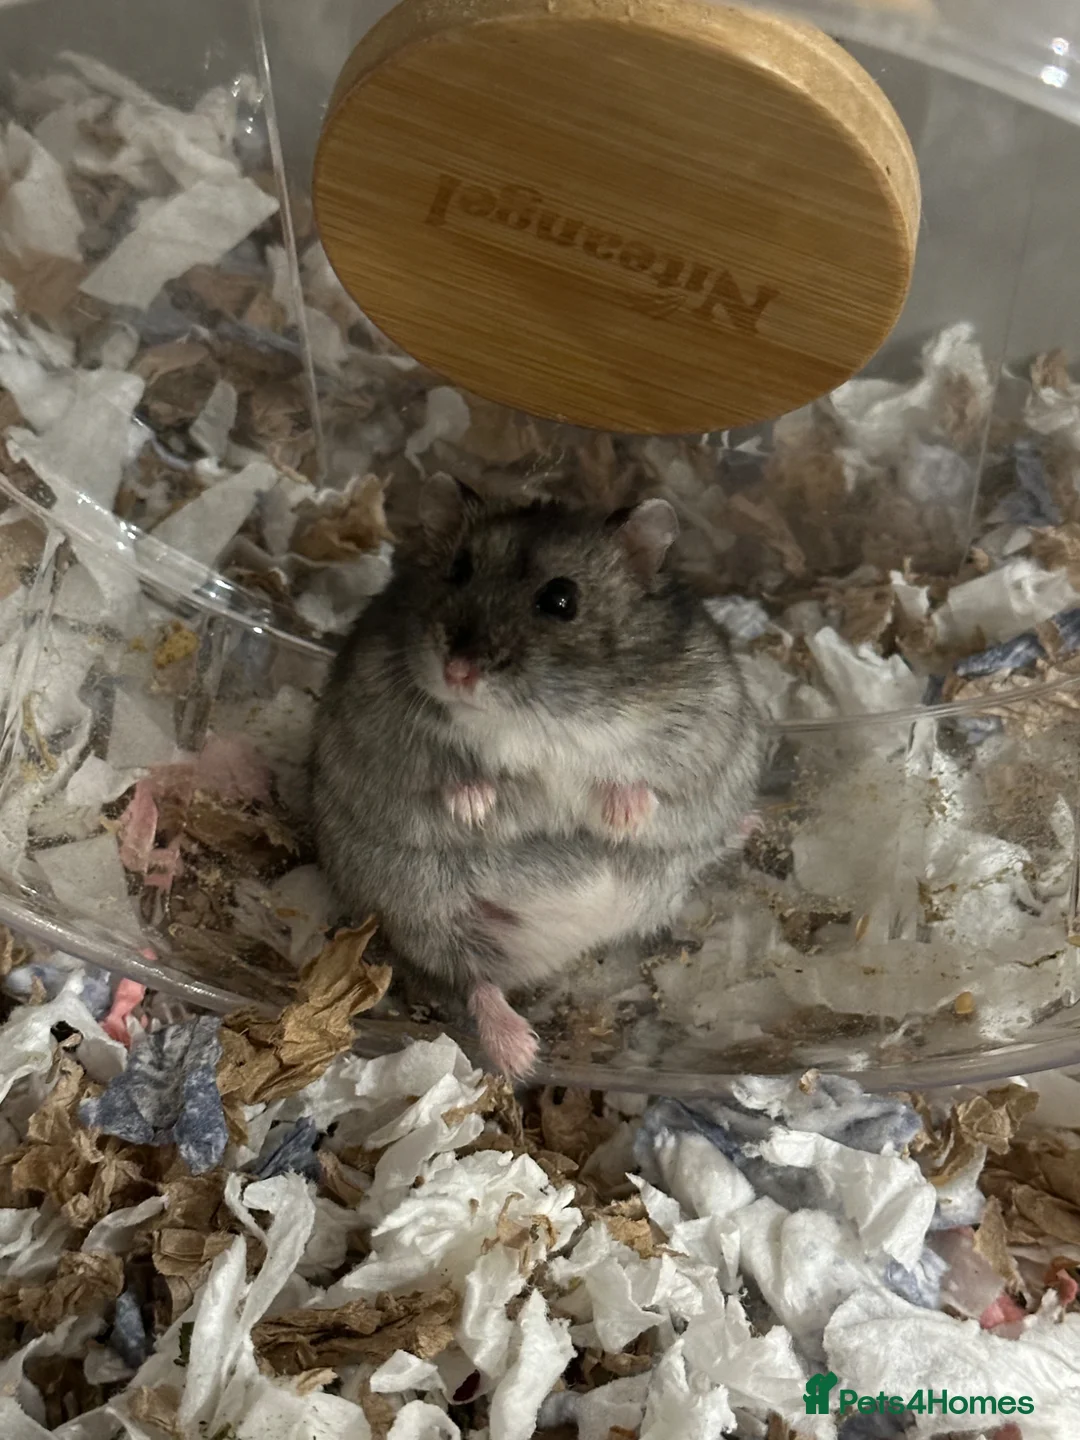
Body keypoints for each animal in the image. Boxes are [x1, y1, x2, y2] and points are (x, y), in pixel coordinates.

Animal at [311, 477, 763, 1078]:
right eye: (458, 570)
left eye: (560, 599)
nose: (458, 671)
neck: (536, 717)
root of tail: (567, 945)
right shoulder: (378, 719)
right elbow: (443, 772)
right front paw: (474, 808)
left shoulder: (702, 726)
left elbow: (645, 781)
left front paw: (622, 818)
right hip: (419, 905)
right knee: (473, 978)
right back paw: (521, 1055)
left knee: (705, 848)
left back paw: (749, 825)